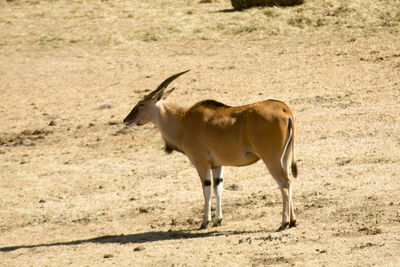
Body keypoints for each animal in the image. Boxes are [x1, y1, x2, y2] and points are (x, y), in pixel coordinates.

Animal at [123, 71, 298, 232]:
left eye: (141, 104)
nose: (126, 120)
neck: (184, 121)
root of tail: (285, 110)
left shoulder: (202, 163)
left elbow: (206, 188)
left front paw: (204, 222)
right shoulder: (217, 165)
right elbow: (218, 187)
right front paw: (218, 220)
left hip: (271, 159)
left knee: (284, 183)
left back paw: (284, 222)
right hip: (284, 158)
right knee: (288, 181)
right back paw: (293, 221)